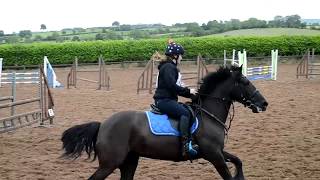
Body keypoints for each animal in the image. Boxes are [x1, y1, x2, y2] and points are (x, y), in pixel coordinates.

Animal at [61, 65, 268, 179]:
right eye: (246, 82)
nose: (264, 103)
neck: (208, 115)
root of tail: (103, 125)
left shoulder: (217, 151)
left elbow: (238, 160)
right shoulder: (214, 155)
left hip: (129, 161)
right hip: (110, 164)